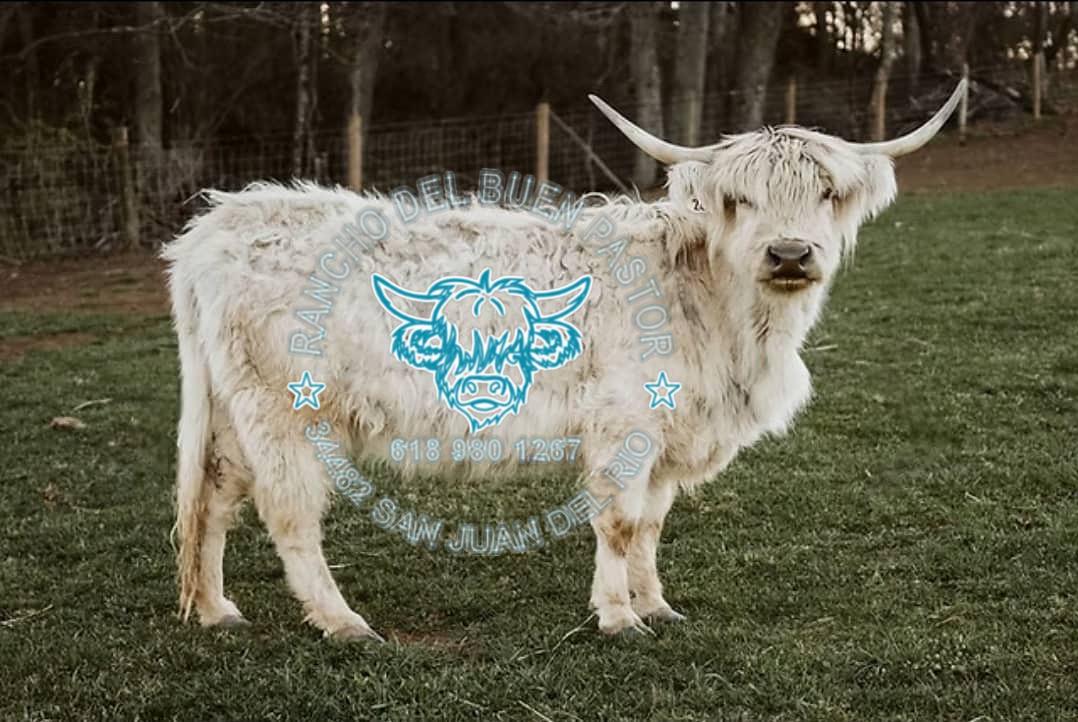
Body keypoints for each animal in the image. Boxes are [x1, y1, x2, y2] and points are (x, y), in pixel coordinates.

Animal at [163, 81, 966, 640]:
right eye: (740, 199)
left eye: (828, 193)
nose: (791, 254)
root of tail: (221, 222)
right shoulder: (623, 424)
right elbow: (617, 522)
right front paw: (617, 618)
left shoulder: (667, 434)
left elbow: (650, 525)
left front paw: (657, 606)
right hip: (284, 414)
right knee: (289, 514)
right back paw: (341, 622)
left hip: (233, 412)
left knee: (213, 498)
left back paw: (215, 609)